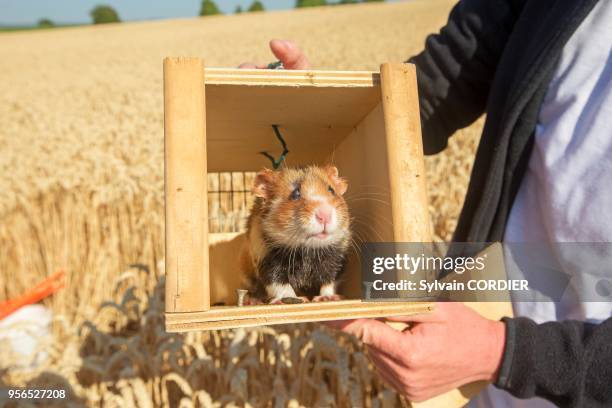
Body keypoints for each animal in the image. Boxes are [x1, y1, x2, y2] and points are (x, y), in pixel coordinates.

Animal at [240, 165, 352, 302]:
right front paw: (295, 300)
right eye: (295, 194)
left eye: (331, 190)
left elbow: (328, 282)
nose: (325, 214)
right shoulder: (267, 261)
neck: (308, 251)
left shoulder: (335, 260)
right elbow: (280, 285)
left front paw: (328, 298)